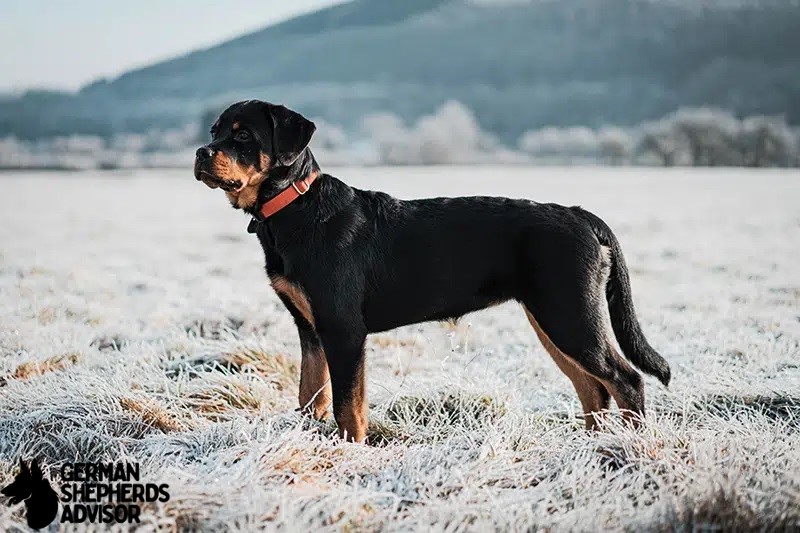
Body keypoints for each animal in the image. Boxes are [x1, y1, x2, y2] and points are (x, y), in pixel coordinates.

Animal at [195, 98, 668, 440]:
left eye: (243, 136)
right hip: (554, 320)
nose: (201, 151)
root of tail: (580, 214)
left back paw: (632, 446)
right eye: (215, 131)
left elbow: (349, 406)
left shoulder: (343, 328)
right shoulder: (310, 328)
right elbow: (311, 395)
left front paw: (351, 452)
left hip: (570, 315)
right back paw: (593, 446)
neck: (293, 207)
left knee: (625, 380)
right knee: (593, 389)